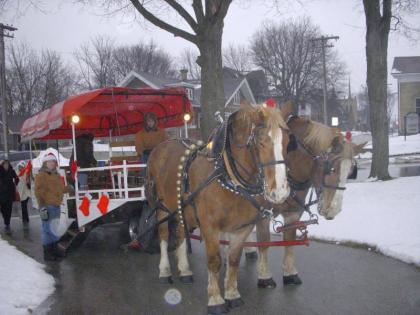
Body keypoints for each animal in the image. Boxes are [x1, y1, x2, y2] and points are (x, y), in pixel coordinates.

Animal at [148, 102, 292, 314]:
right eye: (261, 141)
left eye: (288, 141)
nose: (280, 191)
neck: (227, 175)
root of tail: (160, 146)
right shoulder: (210, 227)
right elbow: (214, 261)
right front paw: (215, 300)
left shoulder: (241, 228)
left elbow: (233, 260)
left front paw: (232, 295)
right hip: (162, 208)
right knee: (164, 235)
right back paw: (165, 271)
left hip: (182, 209)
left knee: (181, 233)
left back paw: (185, 270)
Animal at [251, 102, 366, 290]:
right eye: (331, 168)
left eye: (351, 172)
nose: (333, 210)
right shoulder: (262, 213)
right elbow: (264, 242)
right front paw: (264, 277)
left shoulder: (293, 213)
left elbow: (289, 240)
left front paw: (290, 273)